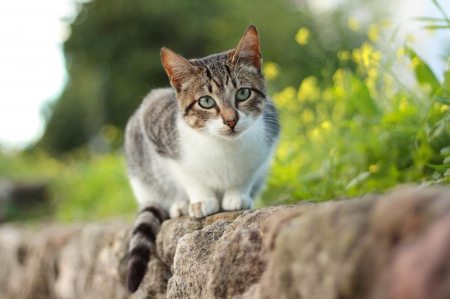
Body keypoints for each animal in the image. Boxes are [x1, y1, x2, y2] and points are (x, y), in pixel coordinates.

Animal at [123, 25, 278, 292]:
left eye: (243, 93)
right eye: (206, 101)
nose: (231, 120)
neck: (223, 146)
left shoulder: (268, 135)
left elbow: (247, 173)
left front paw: (237, 195)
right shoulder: (156, 129)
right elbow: (187, 174)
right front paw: (202, 200)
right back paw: (179, 204)